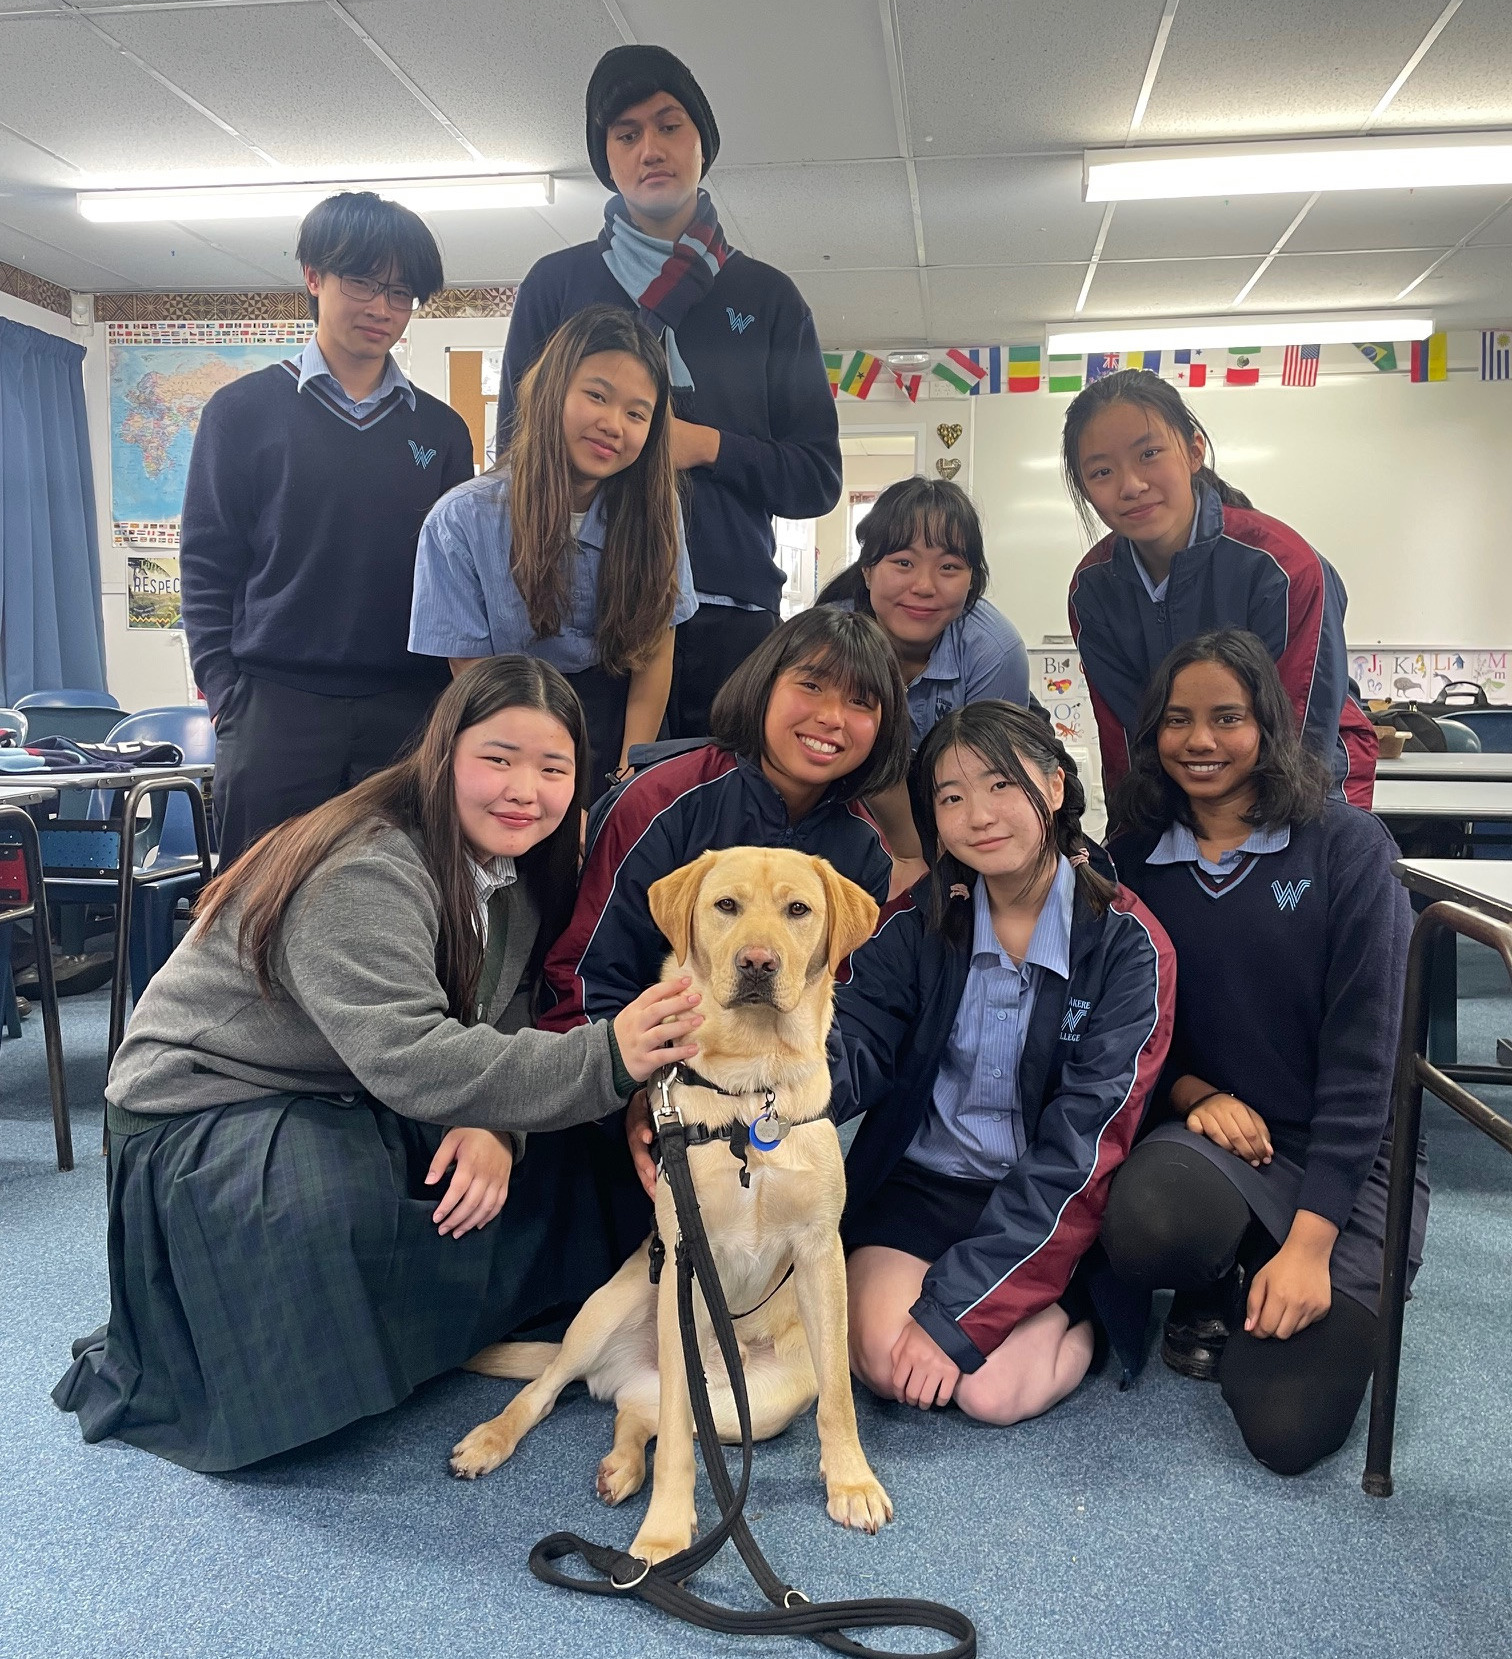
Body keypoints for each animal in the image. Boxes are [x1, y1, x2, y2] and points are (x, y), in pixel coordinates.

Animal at [454, 849, 889, 1559]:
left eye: (798, 910)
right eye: (726, 906)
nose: (758, 962)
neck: (751, 1089)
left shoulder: (822, 1254)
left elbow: (839, 1399)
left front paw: (851, 1480)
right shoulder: (684, 1255)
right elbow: (680, 1453)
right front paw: (662, 1532)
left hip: (759, 1406)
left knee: (643, 1414)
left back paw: (622, 1464)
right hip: (611, 1308)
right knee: (554, 1392)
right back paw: (493, 1440)